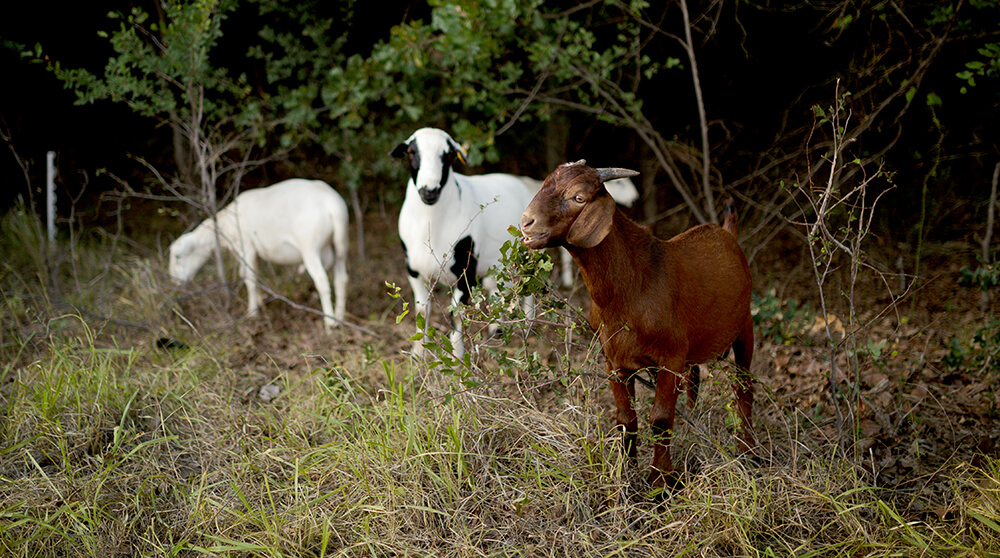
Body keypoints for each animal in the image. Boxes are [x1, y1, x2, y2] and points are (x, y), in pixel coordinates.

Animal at [168, 178, 349, 331]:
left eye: (178, 256)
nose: (174, 281)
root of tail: (331, 204)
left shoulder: (246, 247)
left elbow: (250, 280)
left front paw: (252, 313)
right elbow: (248, 273)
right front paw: (261, 300)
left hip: (309, 246)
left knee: (322, 281)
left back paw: (330, 323)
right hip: (339, 247)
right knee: (341, 279)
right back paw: (340, 316)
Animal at [390, 127, 536, 358]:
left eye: (448, 155)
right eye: (411, 152)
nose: (429, 191)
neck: (430, 224)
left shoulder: (464, 271)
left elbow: (456, 314)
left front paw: (457, 357)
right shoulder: (413, 270)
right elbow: (422, 310)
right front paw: (418, 353)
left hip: (525, 251)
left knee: (528, 282)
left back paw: (529, 323)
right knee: (495, 288)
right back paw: (496, 331)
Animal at [519, 160, 754, 488]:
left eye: (579, 197)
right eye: (543, 184)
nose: (527, 222)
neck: (634, 284)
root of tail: (726, 232)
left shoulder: (671, 358)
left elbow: (660, 419)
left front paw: (660, 482)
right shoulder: (614, 360)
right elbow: (625, 420)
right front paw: (627, 476)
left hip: (745, 325)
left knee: (744, 385)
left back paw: (749, 451)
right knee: (695, 379)